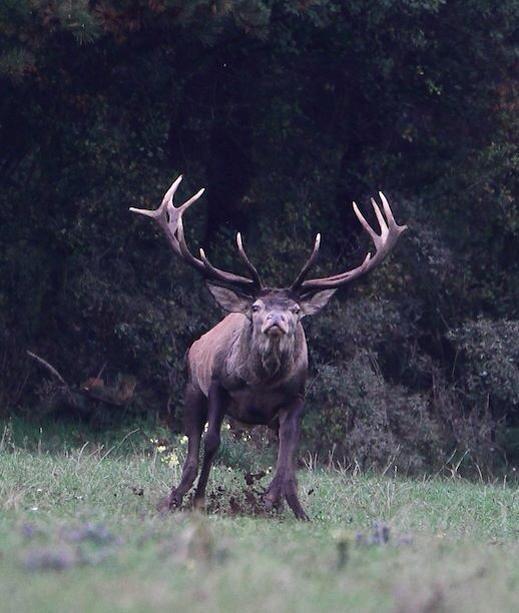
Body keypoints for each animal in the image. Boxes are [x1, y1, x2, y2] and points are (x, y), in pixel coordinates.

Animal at [130, 175, 406, 520]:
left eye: (296, 310)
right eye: (256, 307)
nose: (276, 320)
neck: (261, 382)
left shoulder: (296, 398)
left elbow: (287, 455)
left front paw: (291, 508)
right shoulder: (218, 385)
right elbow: (212, 442)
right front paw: (199, 500)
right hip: (192, 387)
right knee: (193, 446)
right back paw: (175, 497)